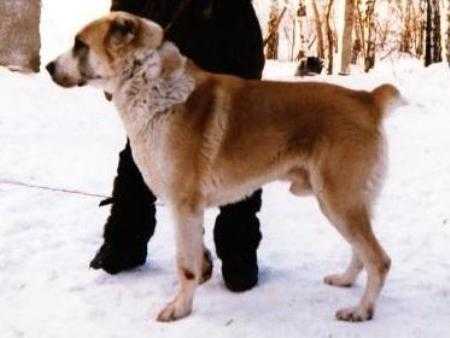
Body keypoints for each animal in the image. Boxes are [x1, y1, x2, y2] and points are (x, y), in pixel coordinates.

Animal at [47, 12, 406, 322]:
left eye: (80, 44)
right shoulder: (189, 210)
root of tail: (368, 99)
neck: (151, 85)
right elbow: (196, 251)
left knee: (379, 259)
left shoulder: (184, 204)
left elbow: (184, 264)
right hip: (344, 202)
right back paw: (345, 281)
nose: (49, 66)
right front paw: (204, 269)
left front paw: (180, 309)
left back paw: (360, 311)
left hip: (339, 200)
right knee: (361, 253)